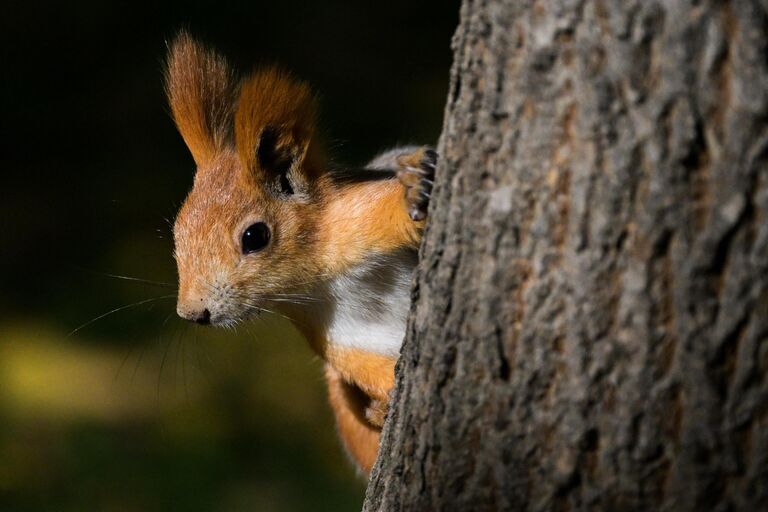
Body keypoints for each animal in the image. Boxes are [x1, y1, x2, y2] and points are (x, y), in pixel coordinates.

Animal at [166, 33, 436, 476]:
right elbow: (367, 367)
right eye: (177, 234)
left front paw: (416, 189)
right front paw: (386, 398)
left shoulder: (353, 219)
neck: (318, 282)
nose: (193, 313)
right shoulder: (338, 336)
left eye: (255, 236)